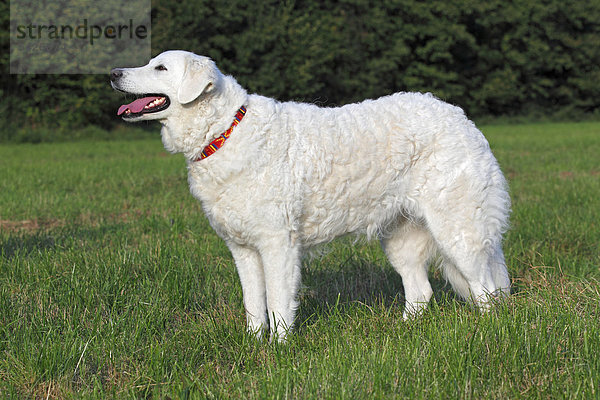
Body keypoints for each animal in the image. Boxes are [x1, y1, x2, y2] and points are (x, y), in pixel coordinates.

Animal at [111, 50, 510, 340]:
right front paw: (254, 346)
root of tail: (460, 117)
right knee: (421, 292)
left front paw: (279, 352)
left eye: (160, 67)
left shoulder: (278, 245)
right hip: (402, 238)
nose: (113, 73)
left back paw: (489, 335)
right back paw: (401, 332)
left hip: (459, 231)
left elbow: (278, 303)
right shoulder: (243, 250)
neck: (225, 132)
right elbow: (254, 306)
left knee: (488, 291)